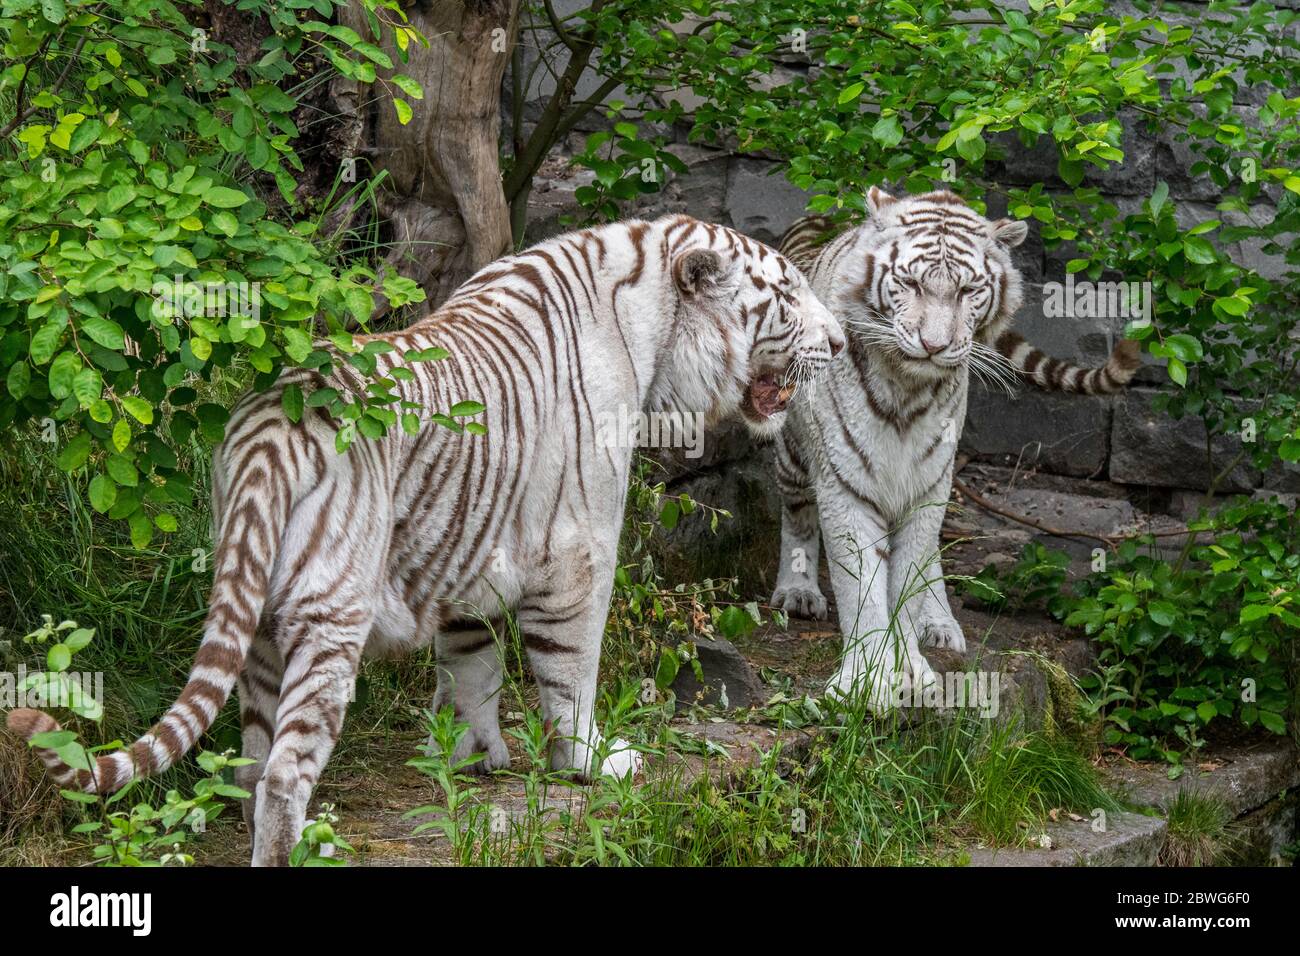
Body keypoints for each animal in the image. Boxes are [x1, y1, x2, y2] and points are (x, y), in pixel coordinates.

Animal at [8, 214, 845, 866]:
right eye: (788, 295)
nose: (839, 341)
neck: (652, 331)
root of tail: (271, 422)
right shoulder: (578, 552)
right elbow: (570, 671)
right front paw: (593, 761)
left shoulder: (473, 548)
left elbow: (471, 663)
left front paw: (474, 756)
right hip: (329, 618)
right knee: (283, 772)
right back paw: (294, 846)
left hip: (260, 618)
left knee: (250, 759)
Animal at [769, 187, 1141, 710]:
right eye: (909, 283)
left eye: (967, 291)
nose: (933, 344)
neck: (906, 387)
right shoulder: (845, 482)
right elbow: (861, 585)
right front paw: (865, 680)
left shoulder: (929, 481)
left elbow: (907, 579)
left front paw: (911, 668)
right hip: (793, 452)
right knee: (797, 514)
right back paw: (798, 591)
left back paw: (939, 622)